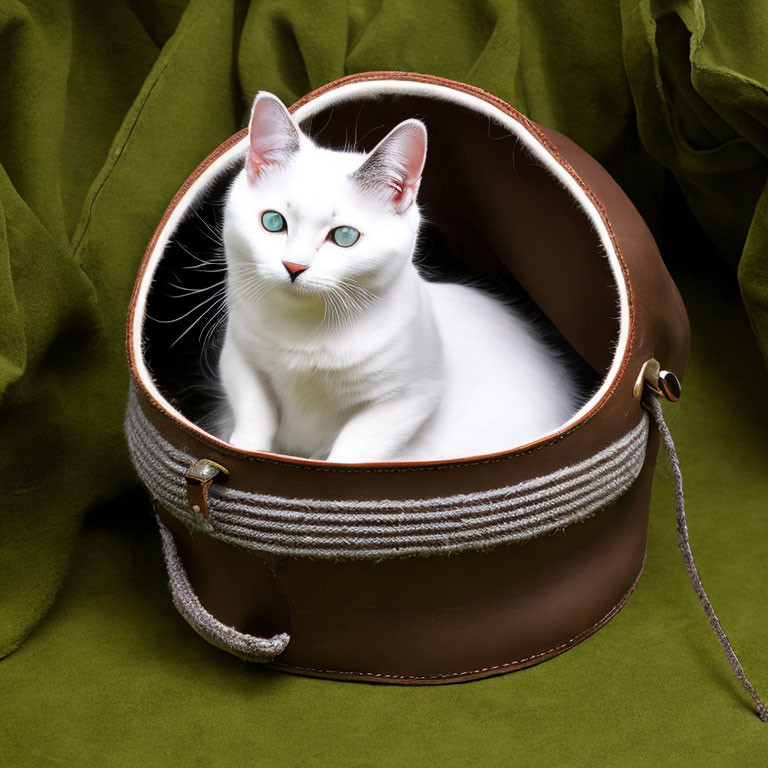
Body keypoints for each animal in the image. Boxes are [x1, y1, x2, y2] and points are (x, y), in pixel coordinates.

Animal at [213, 90, 580, 462]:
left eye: (344, 236)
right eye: (273, 222)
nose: (293, 266)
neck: (306, 332)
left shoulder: (410, 397)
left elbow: (354, 449)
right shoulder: (239, 355)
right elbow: (254, 411)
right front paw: (247, 447)